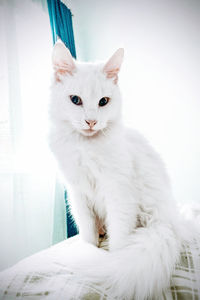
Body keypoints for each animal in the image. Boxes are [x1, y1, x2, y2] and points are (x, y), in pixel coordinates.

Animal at [48, 40, 197, 300]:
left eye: (103, 102)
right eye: (75, 100)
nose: (91, 122)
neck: (86, 146)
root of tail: (172, 226)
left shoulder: (118, 193)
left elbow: (118, 237)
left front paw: (112, 261)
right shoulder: (77, 194)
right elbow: (87, 232)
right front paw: (89, 250)